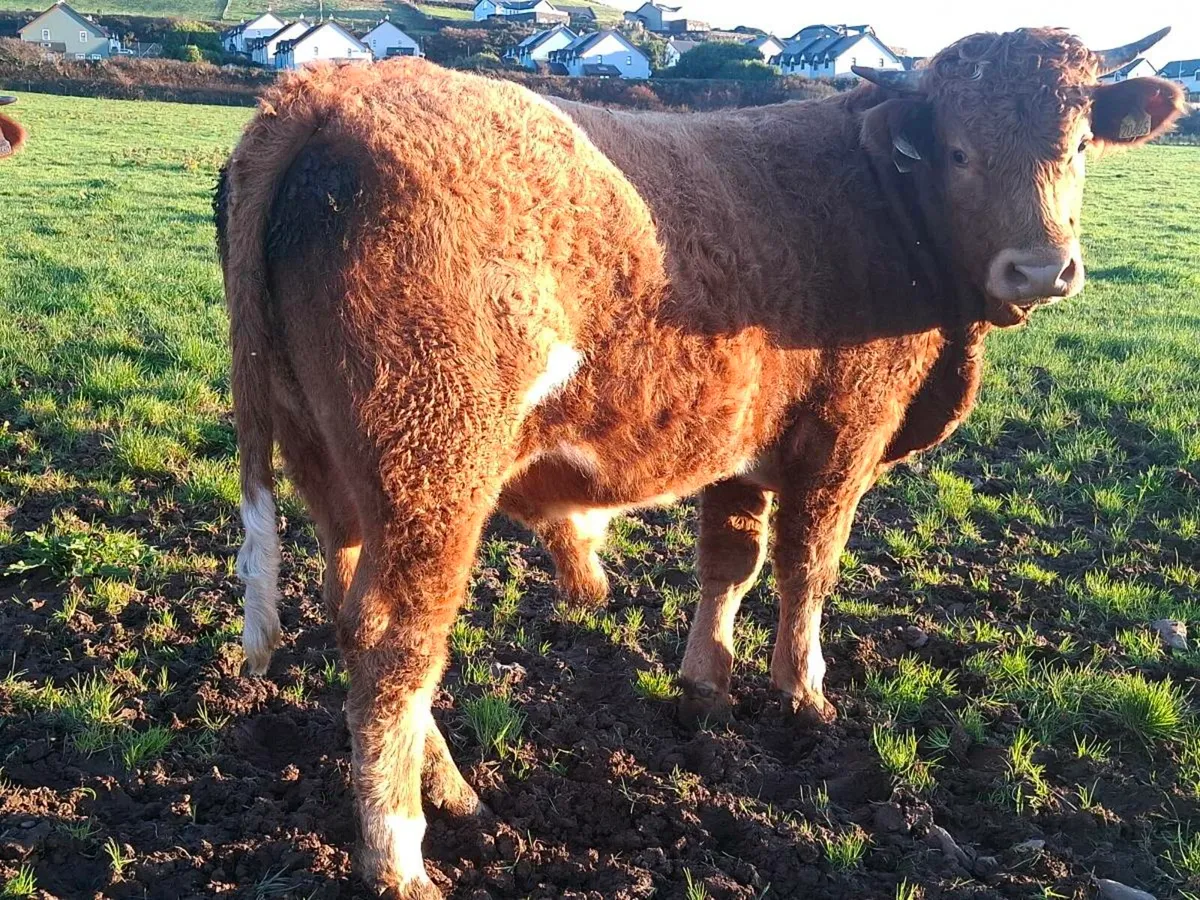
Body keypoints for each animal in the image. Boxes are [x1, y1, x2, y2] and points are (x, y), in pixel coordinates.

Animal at [214, 26, 1183, 897]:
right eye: (958, 150)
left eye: (1080, 143)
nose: (1042, 269)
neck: (883, 200)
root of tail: (325, 91)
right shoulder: (845, 435)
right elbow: (807, 567)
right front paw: (803, 694)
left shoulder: (740, 447)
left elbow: (730, 561)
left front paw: (708, 684)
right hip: (433, 470)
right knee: (396, 644)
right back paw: (401, 858)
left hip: (335, 474)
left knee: (353, 613)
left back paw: (454, 793)